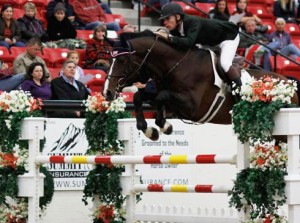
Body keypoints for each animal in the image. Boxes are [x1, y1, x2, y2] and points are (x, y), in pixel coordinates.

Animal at [102, 29, 298, 141]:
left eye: (121, 60)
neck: (176, 65)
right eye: (110, 59)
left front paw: (164, 126)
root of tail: (291, 84)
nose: (107, 93)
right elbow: (139, 97)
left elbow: (161, 97)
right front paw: (151, 130)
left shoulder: (193, 107)